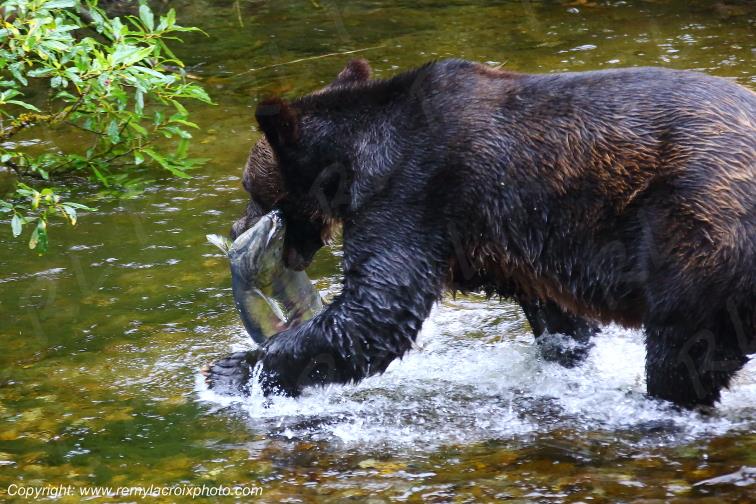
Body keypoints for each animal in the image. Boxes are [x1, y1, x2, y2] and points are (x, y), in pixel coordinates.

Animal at [214, 59, 755, 409]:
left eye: (250, 188)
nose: (237, 228)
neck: (356, 164)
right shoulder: (515, 240)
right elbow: (561, 321)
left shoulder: (415, 193)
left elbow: (377, 310)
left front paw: (235, 369)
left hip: (697, 227)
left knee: (682, 347)